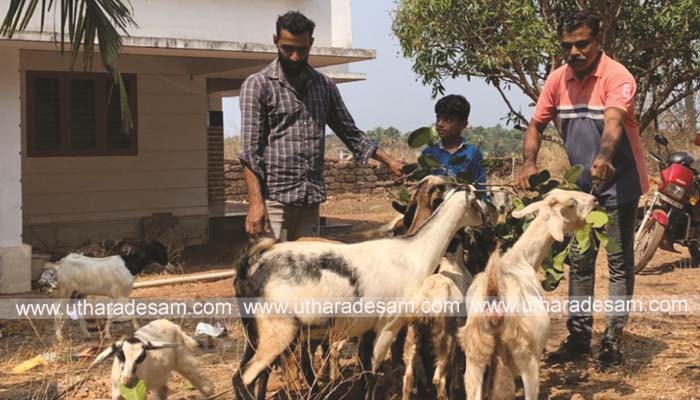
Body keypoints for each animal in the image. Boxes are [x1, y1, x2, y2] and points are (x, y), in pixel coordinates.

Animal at [40, 239, 169, 340]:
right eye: (162, 250)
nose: (167, 262)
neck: (129, 265)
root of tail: (59, 266)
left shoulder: (116, 296)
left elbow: (111, 315)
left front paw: (106, 333)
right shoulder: (121, 295)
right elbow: (128, 312)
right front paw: (137, 329)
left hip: (79, 294)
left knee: (78, 313)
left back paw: (86, 334)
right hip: (66, 290)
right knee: (58, 310)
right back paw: (59, 336)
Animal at [232, 187, 490, 400]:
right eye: (478, 203)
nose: (489, 220)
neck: (413, 253)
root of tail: (250, 268)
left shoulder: (367, 327)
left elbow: (366, 372)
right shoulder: (389, 325)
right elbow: (373, 373)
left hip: (255, 333)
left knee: (251, 375)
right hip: (277, 330)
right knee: (243, 379)